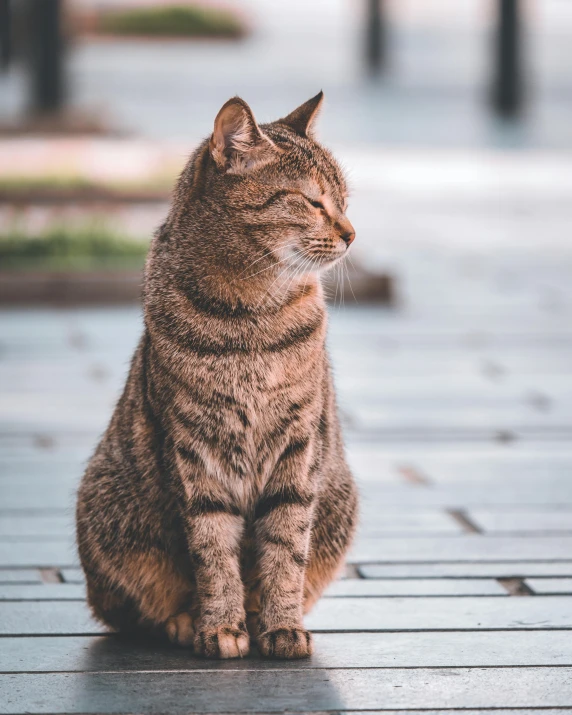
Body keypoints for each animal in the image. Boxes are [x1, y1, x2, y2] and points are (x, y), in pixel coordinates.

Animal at [76, 93, 358, 660]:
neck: (249, 315)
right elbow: (212, 549)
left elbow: (285, 549)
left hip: (339, 500)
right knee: (135, 609)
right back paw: (185, 620)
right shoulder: (194, 449)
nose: (351, 233)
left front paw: (280, 624)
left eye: (344, 200)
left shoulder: (298, 447)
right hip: (108, 506)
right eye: (312, 202)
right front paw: (221, 625)